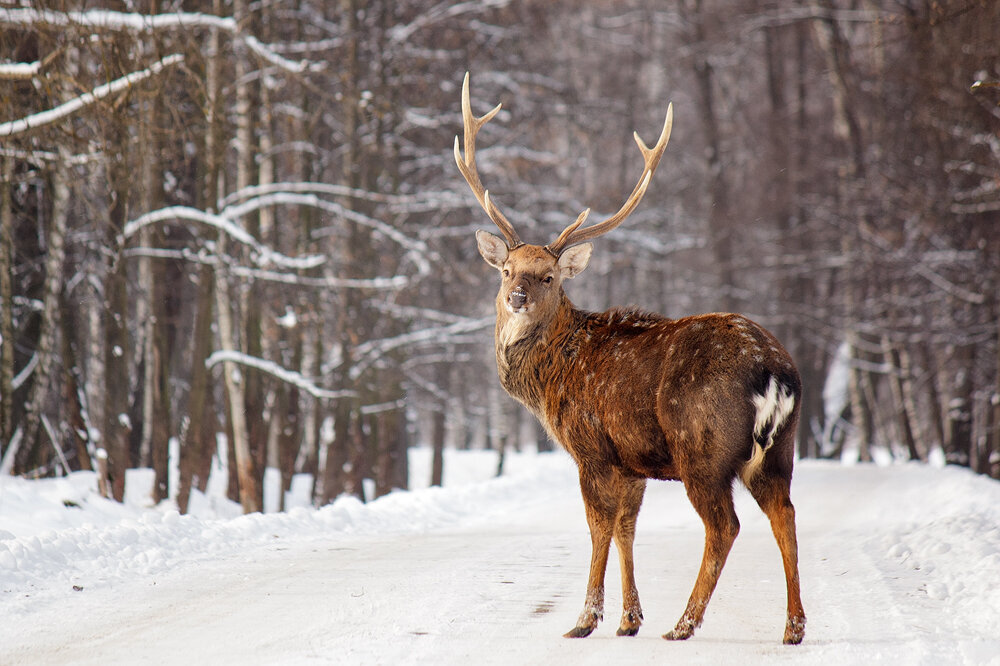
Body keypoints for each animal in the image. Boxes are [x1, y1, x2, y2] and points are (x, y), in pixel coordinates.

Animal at [454, 74, 804, 644]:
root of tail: (774, 371)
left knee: (724, 525)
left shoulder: (591, 446)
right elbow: (626, 528)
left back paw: (684, 624)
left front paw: (585, 619)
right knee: (786, 515)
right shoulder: (631, 459)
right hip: (779, 450)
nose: (518, 297)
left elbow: (598, 526)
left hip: (702, 448)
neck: (550, 378)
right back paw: (793, 627)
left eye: (548, 276)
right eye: (506, 269)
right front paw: (628, 619)